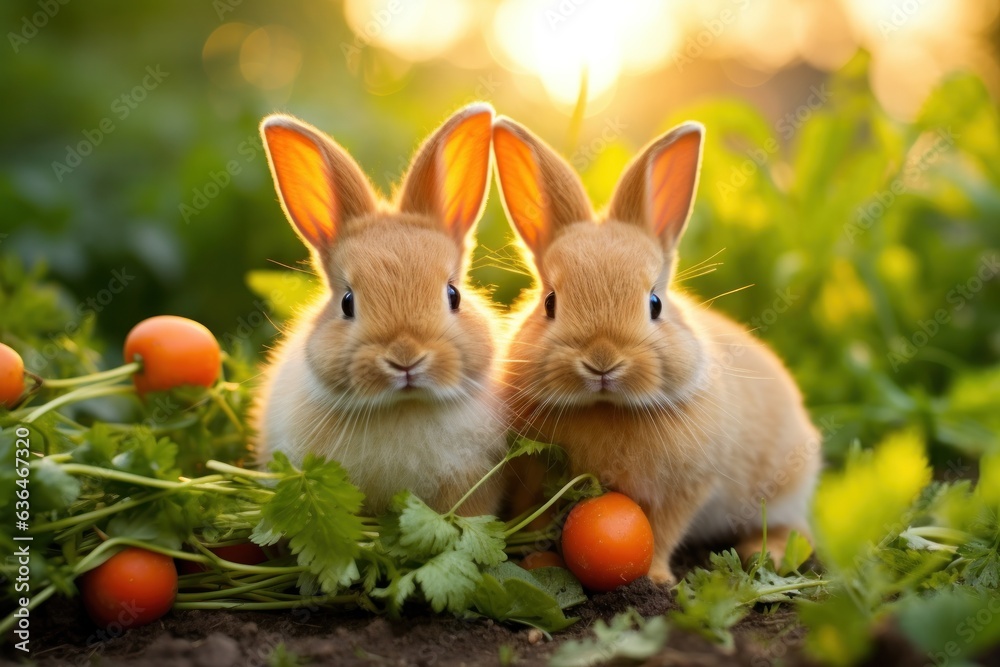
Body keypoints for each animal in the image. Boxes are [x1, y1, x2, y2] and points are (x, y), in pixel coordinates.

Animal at [492, 118, 820, 584]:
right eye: (550, 303)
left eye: (655, 304)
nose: (602, 362)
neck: (605, 408)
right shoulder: (534, 475)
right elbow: (536, 516)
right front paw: (537, 562)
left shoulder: (685, 488)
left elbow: (663, 531)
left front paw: (657, 580)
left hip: (784, 487)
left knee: (794, 530)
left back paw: (766, 553)